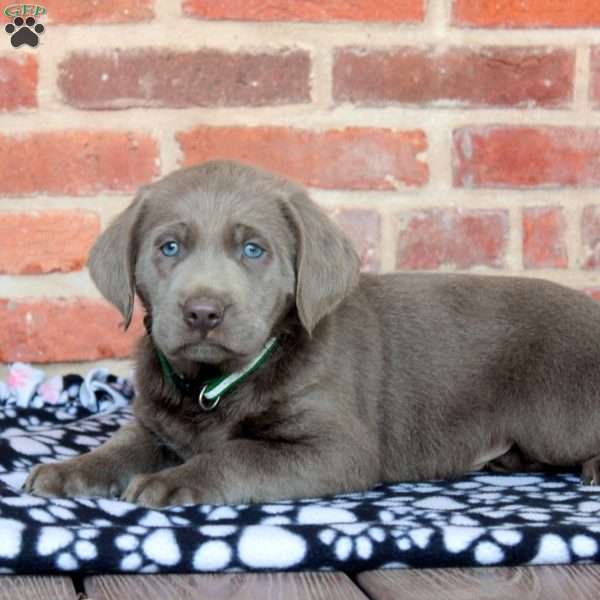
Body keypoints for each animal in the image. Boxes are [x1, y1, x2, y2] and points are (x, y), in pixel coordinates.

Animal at [27, 159, 600, 506]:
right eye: (169, 248)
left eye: (253, 250)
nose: (203, 311)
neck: (216, 385)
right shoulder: (153, 425)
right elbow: (119, 448)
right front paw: (68, 470)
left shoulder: (336, 447)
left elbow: (237, 454)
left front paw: (171, 482)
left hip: (557, 415)